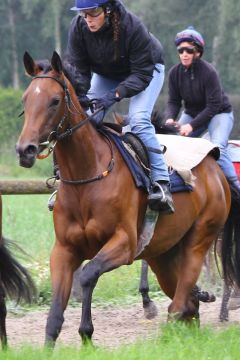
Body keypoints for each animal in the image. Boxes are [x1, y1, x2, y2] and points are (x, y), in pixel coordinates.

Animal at [16, 50, 234, 346]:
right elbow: (54, 317)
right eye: (26, 99)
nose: (24, 150)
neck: (87, 176)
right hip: (163, 254)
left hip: (200, 237)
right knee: (187, 303)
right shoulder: (63, 249)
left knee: (179, 305)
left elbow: (88, 274)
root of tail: (215, 165)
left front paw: (87, 333)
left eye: (54, 101)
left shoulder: (124, 243)